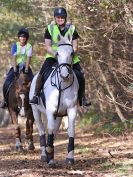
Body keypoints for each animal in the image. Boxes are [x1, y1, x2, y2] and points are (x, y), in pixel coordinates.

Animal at [29, 35, 79, 167]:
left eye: (72, 53)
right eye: (57, 53)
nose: (65, 75)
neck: (62, 84)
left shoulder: (71, 109)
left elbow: (70, 130)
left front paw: (70, 158)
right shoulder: (50, 110)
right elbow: (49, 129)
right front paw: (50, 157)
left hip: (59, 116)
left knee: (54, 132)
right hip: (35, 111)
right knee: (42, 130)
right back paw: (44, 155)